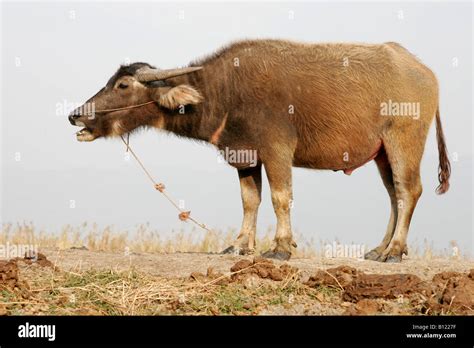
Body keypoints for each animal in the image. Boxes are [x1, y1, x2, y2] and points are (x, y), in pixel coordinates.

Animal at [69, 38, 452, 260]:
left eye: (123, 85)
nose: (76, 115)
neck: (224, 92)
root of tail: (426, 73)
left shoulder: (277, 151)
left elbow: (281, 198)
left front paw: (281, 247)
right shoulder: (245, 157)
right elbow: (249, 201)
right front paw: (239, 245)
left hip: (404, 141)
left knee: (409, 191)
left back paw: (396, 250)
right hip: (382, 153)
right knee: (393, 195)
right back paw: (379, 249)